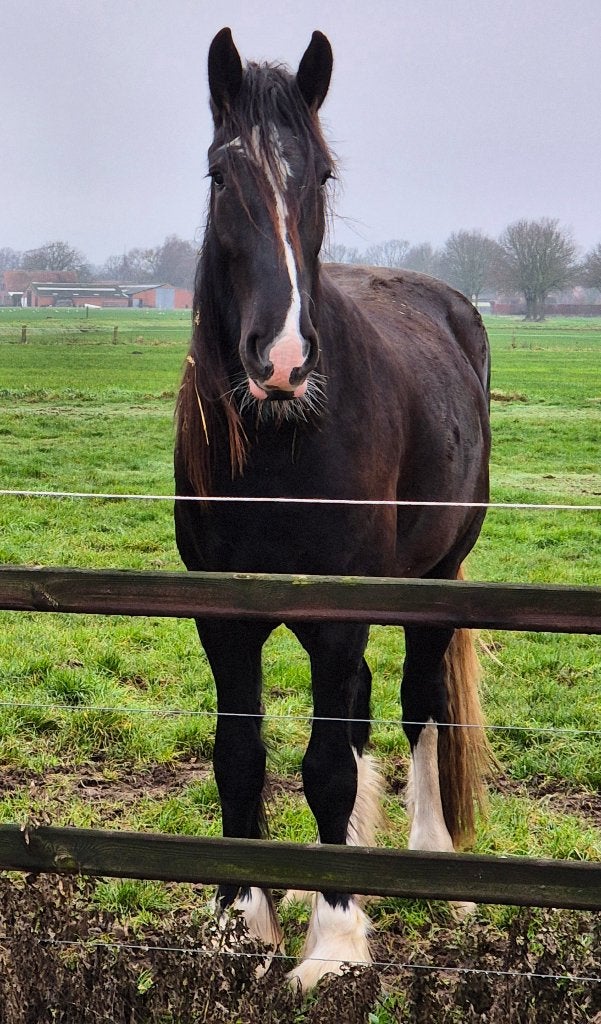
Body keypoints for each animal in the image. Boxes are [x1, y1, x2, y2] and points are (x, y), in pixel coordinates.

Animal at [174, 27, 492, 991]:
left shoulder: (341, 613)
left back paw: (434, 870)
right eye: (219, 174)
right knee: (354, 710)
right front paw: (243, 920)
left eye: (318, 175)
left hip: (433, 580)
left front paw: (335, 941)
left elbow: (322, 767)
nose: (279, 358)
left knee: (418, 705)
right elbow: (241, 757)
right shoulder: (223, 620)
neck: (285, 439)